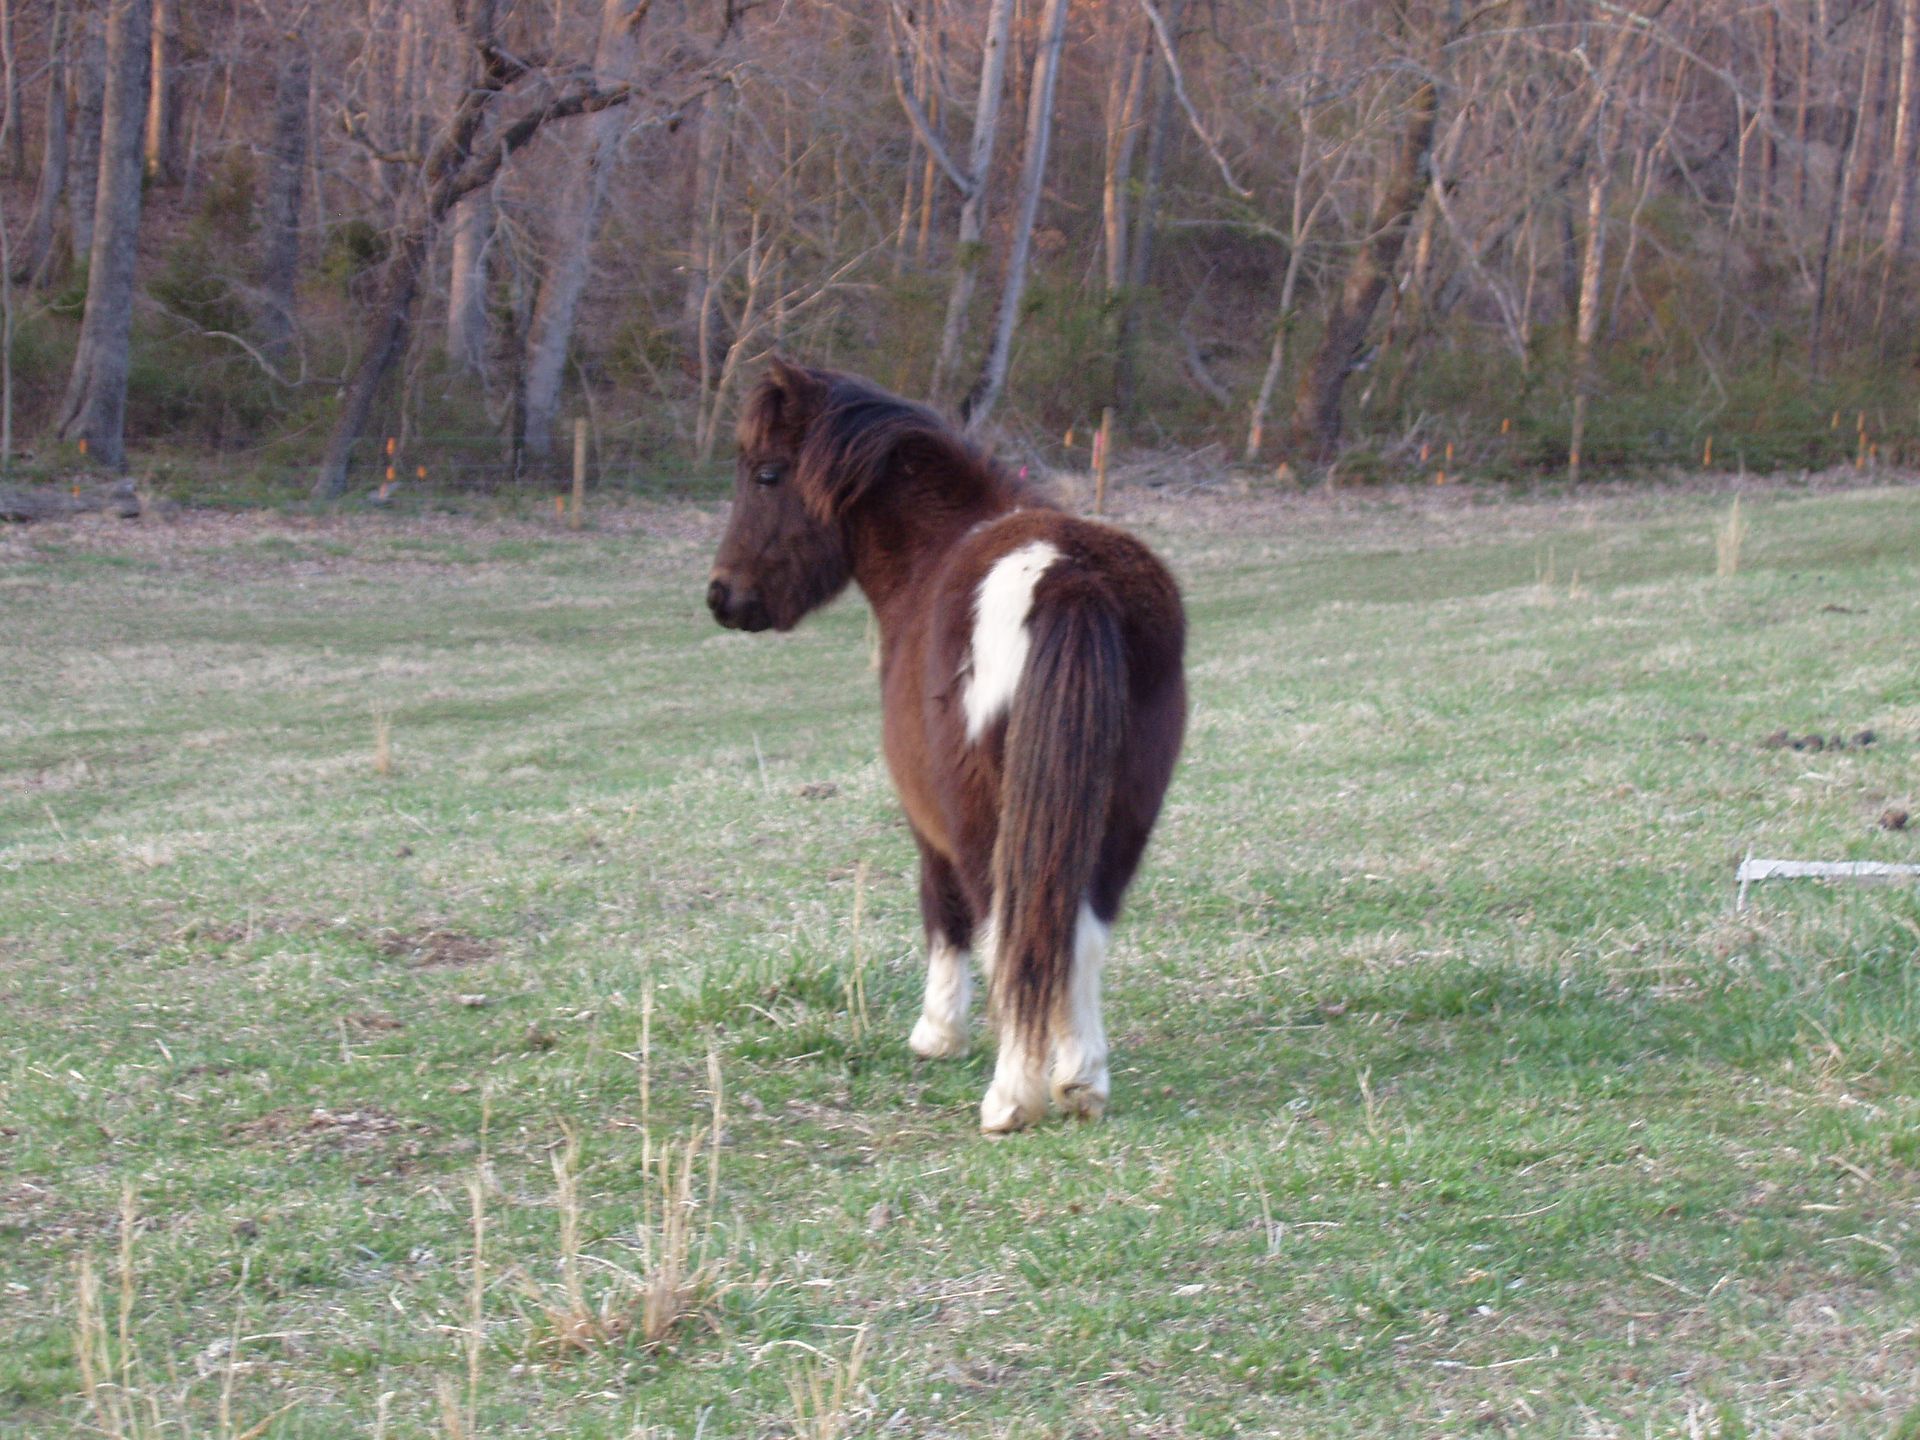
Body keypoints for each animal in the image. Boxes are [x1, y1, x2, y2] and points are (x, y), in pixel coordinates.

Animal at [706, 359, 1186, 1133]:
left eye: (767, 473)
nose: (723, 595)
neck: (933, 551)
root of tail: (1069, 574)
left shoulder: (927, 818)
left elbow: (943, 911)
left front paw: (937, 1033)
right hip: (1120, 817)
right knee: (1078, 930)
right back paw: (1080, 1081)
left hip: (986, 822)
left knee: (1012, 930)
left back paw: (1010, 1098)